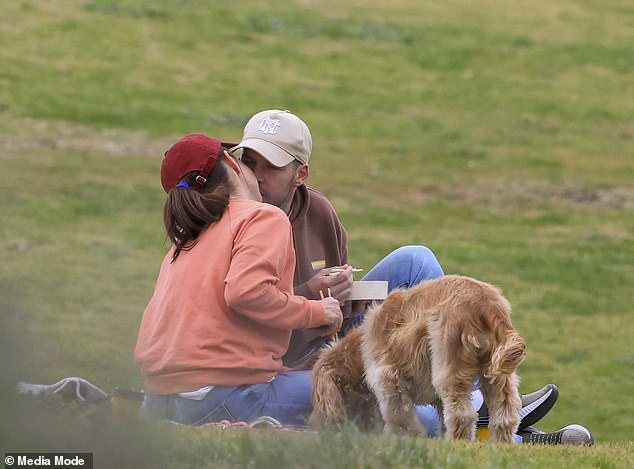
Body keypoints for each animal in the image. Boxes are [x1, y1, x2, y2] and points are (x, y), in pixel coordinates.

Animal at [310, 274, 524, 442]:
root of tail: (486, 304)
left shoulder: (388, 378)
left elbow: (398, 416)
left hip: (450, 366)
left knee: (462, 415)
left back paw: (456, 442)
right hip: (496, 374)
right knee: (505, 413)